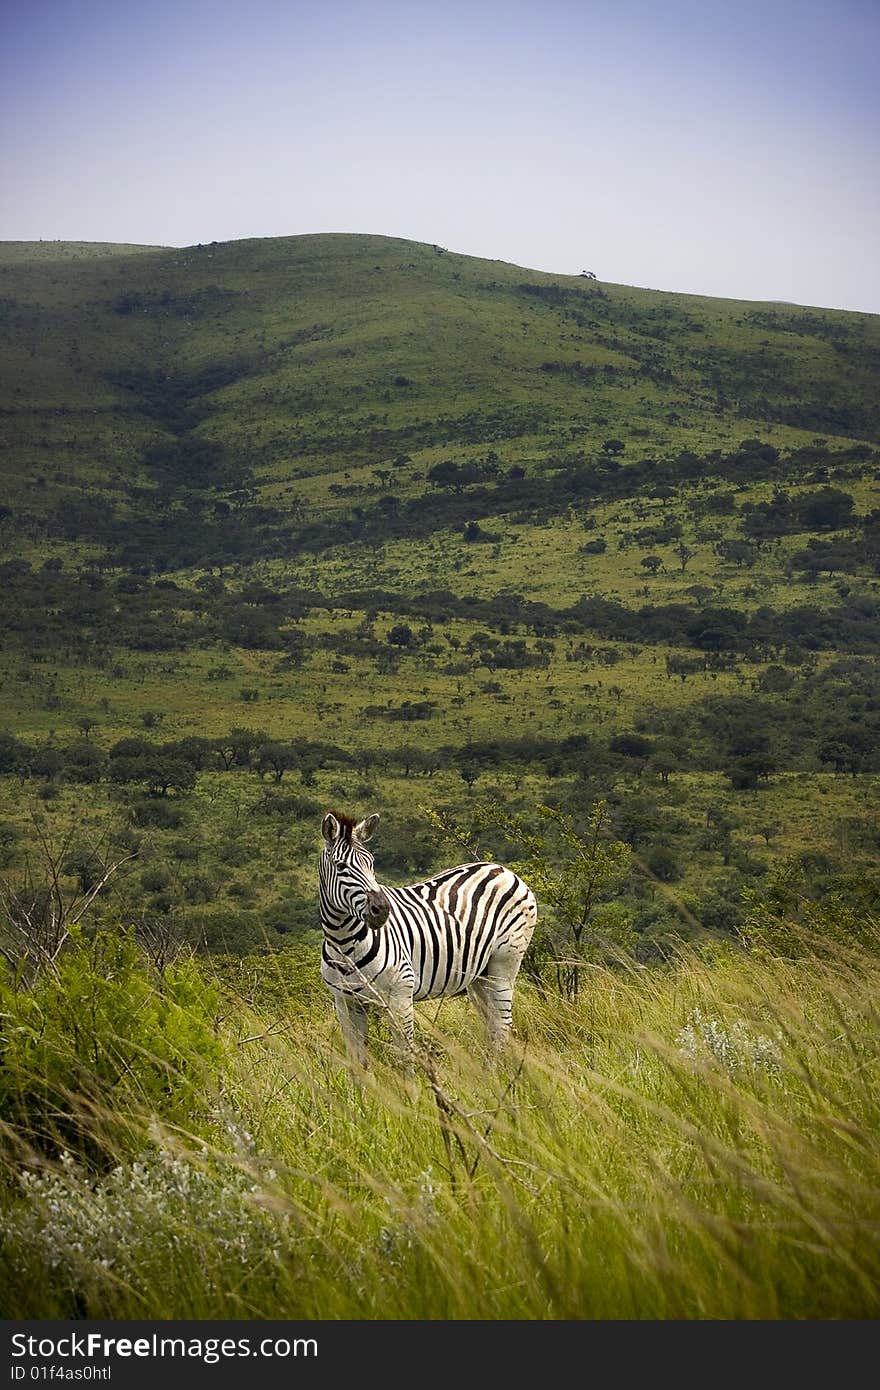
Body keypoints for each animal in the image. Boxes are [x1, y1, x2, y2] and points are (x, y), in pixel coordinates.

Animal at [316, 811, 536, 1056]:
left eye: (371, 863)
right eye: (341, 866)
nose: (382, 909)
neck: (344, 942)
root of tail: (502, 869)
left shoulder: (400, 995)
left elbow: (404, 1056)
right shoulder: (346, 1003)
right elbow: (357, 1061)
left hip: (504, 964)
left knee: (502, 1025)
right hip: (480, 974)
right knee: (491, 1024)